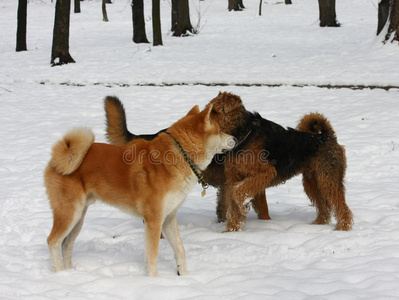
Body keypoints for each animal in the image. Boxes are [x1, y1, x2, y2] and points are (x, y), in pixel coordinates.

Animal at [45, 103, 236, 276]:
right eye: (220, 130)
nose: (234, 138)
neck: (180, 155)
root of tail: (56, 158)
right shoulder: (154, 220)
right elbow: (152, 257)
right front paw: (153, 281)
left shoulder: (168, 218)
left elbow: (180, 250)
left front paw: (184, 276)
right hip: (69, 213)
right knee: (53, 241)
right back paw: (59, 273)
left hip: (78, 218)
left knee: (66, 244)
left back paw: (70, 273)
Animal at [104, 92, 354, 231]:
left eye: (214, 110)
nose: (199, 119)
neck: (242, 135)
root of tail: (326, 136)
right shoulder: (236, 178)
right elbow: (236, 201)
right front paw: (233, 229)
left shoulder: (262, 174)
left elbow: (239, 196)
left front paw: (237, 221)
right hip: (313, 180)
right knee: (326, 206)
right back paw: (321, 224)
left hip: (325, 178)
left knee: (338, 205)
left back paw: (341, 227)